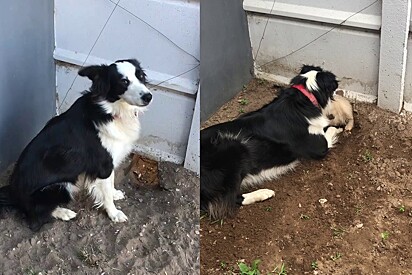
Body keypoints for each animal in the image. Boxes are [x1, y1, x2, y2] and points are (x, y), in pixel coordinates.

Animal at [0, 59, 152, 232]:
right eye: (123, 82)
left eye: (140, 76)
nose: (148, 96)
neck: (110, 110)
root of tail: (12, 193)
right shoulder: (104, 164)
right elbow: (106, 192)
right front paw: (114, 213)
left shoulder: (110, 162)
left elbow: (110, 183)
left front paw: (115, 194)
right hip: (58, 187)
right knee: (35, 217)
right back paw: (64, 212)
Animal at [201, 64, 352, 220]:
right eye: (334, 86)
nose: (340, 90)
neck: (304, 98)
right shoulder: (318, 147)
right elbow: (330, 129)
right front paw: (340, 128)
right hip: (235, 148)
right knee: (233, 198)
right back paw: (263, 193)